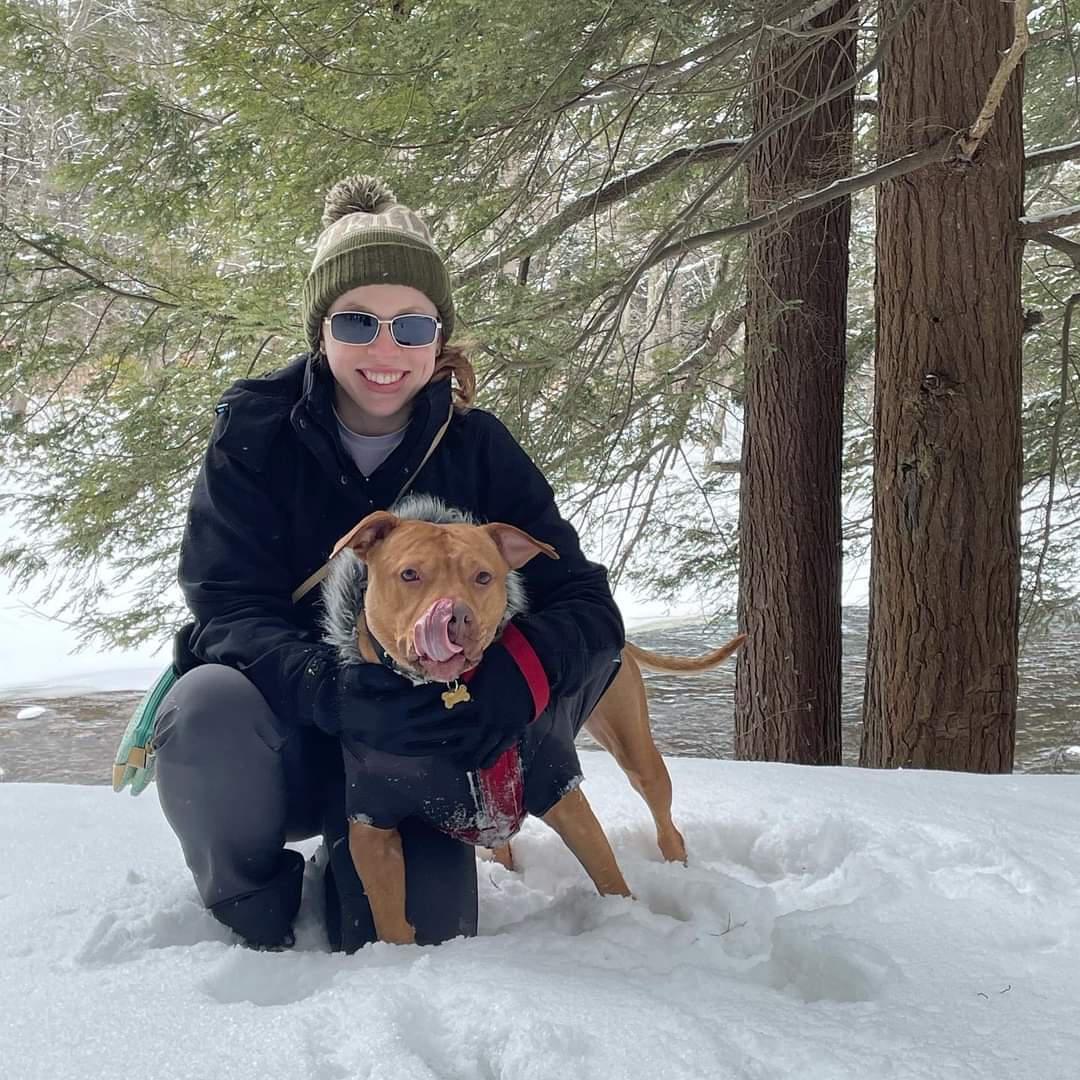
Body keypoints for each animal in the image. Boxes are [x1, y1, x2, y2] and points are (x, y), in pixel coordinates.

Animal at [319, 498, 743, 946]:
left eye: (483, 576)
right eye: (409, 574)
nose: (456, 616)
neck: (443, 699)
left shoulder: (559, 786)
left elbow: (607, 873)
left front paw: (628, 921)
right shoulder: (370, 824)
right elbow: (387, 915)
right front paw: (397, 954)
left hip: (635, 749)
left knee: (661, 812)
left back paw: (678, 866)